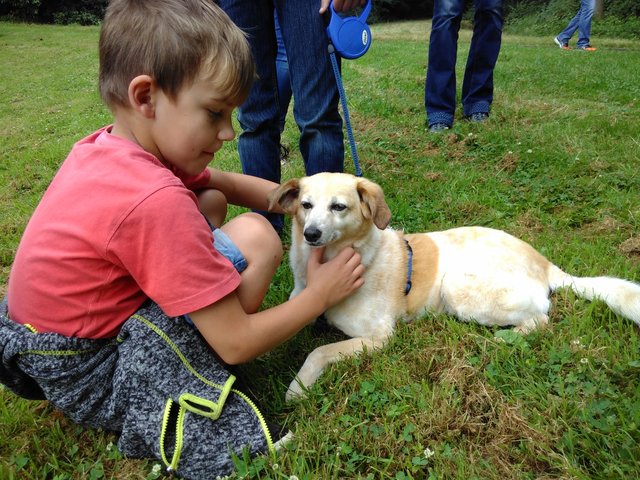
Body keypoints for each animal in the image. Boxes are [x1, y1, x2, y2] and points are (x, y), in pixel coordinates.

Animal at [268, 172, 640, 400]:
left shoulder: (379, 337)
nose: (310, 234)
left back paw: (507, 337)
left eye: (339, 207)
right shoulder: (302, 302)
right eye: (306, 205)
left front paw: (298, 387)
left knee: (542, 319)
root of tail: (545, 264)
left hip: (456, 287)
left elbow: (319, 351)